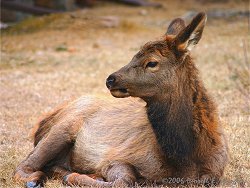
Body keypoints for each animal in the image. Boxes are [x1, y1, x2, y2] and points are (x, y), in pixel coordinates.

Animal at [14, 12, 229, 187]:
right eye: (133, 55)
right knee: (25, 166)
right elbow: (124, 180)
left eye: (152, 62)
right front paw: (80, 177)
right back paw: (37, 180)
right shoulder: (115, 157)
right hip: (62, 128)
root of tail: (44, 121)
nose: (111, 79)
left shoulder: (214, 173)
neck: (186, 159)